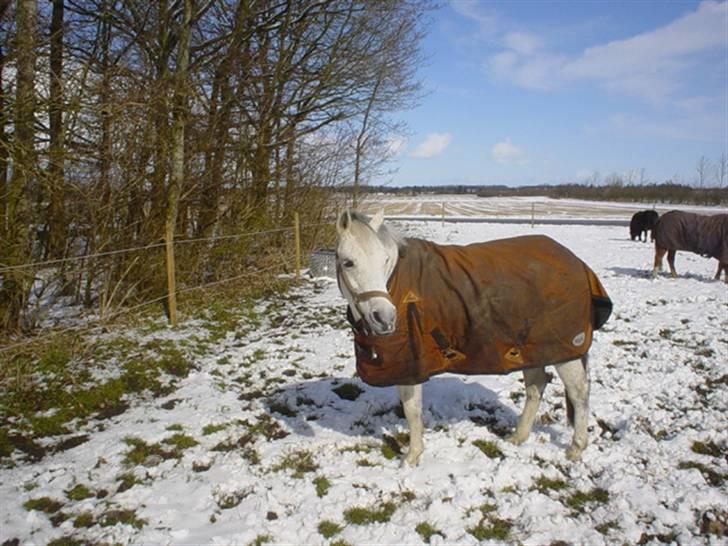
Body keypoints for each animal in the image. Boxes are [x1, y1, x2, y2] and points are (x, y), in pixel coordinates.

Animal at [336, 208, 596, 464]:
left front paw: (411, 458)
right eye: (348, 263)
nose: (385, 318)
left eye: (385, 261)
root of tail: (574, 261)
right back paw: (518, 437)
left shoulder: (410, 366)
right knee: (536, 387)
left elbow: (412, 410)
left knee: (579, 392)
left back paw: (576, 448)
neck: (398, 286)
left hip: (566, 350)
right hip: (531, 349)